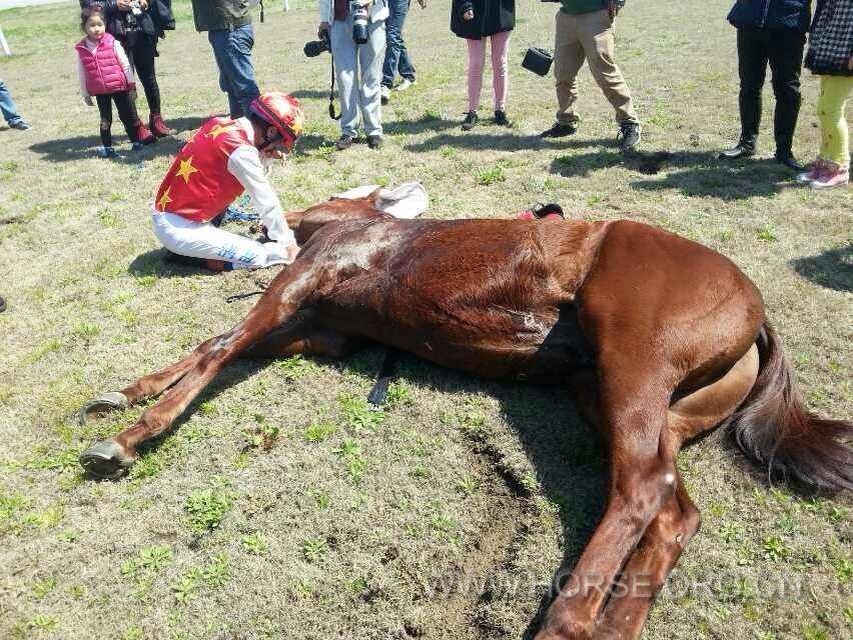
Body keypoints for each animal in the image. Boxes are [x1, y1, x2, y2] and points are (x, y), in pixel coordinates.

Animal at [76, 192, 848, 640]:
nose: (224, 222)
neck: (369, 228)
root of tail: (755, 310)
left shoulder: (298, 289)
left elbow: (219, 348)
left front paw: (126, 438)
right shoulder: (321, 332)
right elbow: (218, 346)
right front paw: (126, 394)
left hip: (634, 362)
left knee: (636, 489)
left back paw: (565, 623)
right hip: (613, 396)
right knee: (670, 506)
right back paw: (612, 627)